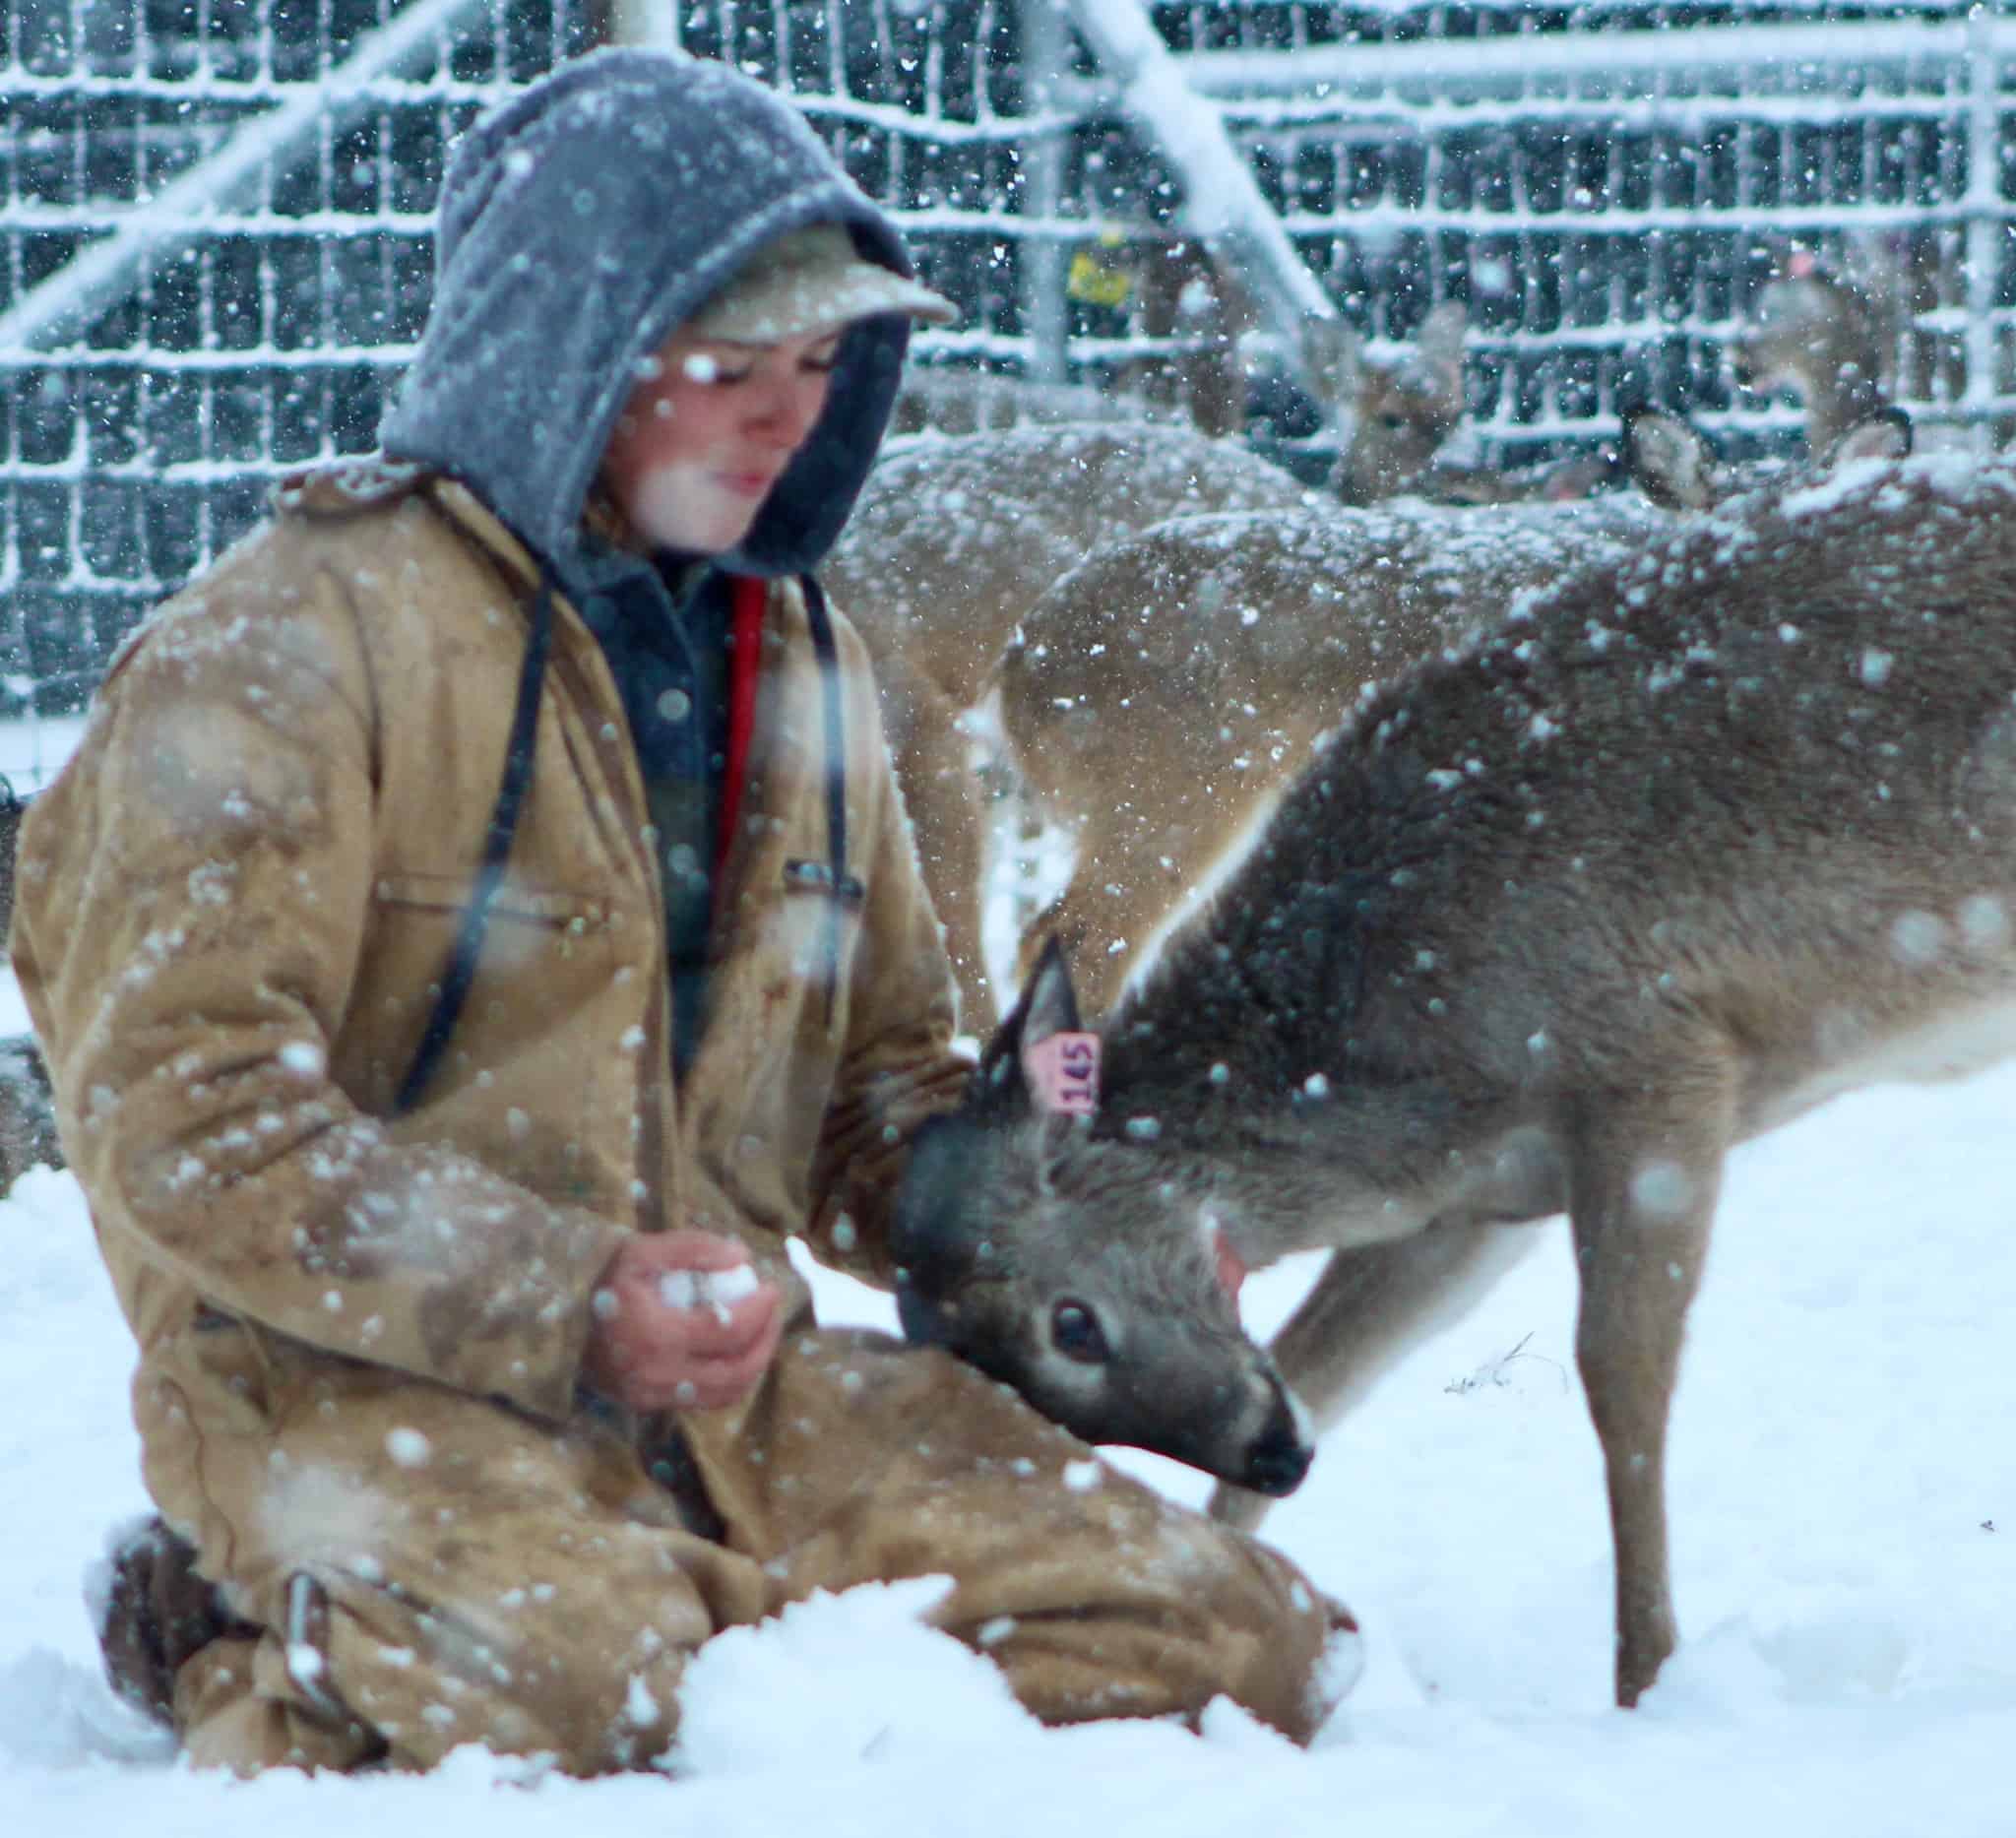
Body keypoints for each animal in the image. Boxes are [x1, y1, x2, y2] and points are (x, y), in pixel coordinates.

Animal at [891, 439, 2016, 1709]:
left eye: (1069, 1324)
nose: (1270, 1454)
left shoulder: (1649, 1059)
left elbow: (1619, 1377)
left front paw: (1644, 1680)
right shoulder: (1475, 1203)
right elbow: (1317, 1361)